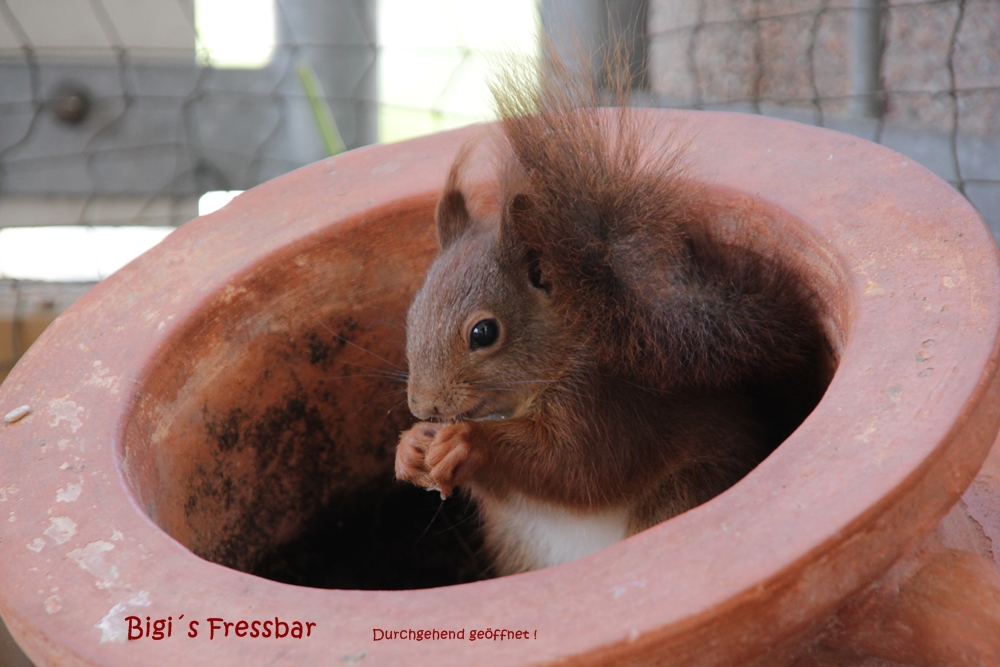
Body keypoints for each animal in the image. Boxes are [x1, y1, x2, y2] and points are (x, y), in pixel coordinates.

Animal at [394, 54, 824, 576]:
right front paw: (412, 445)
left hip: (684, 491)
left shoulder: (604, 405)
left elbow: (577, 467)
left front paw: (468, 442)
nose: (424, 406)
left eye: (483, 332)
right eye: (412, 315)